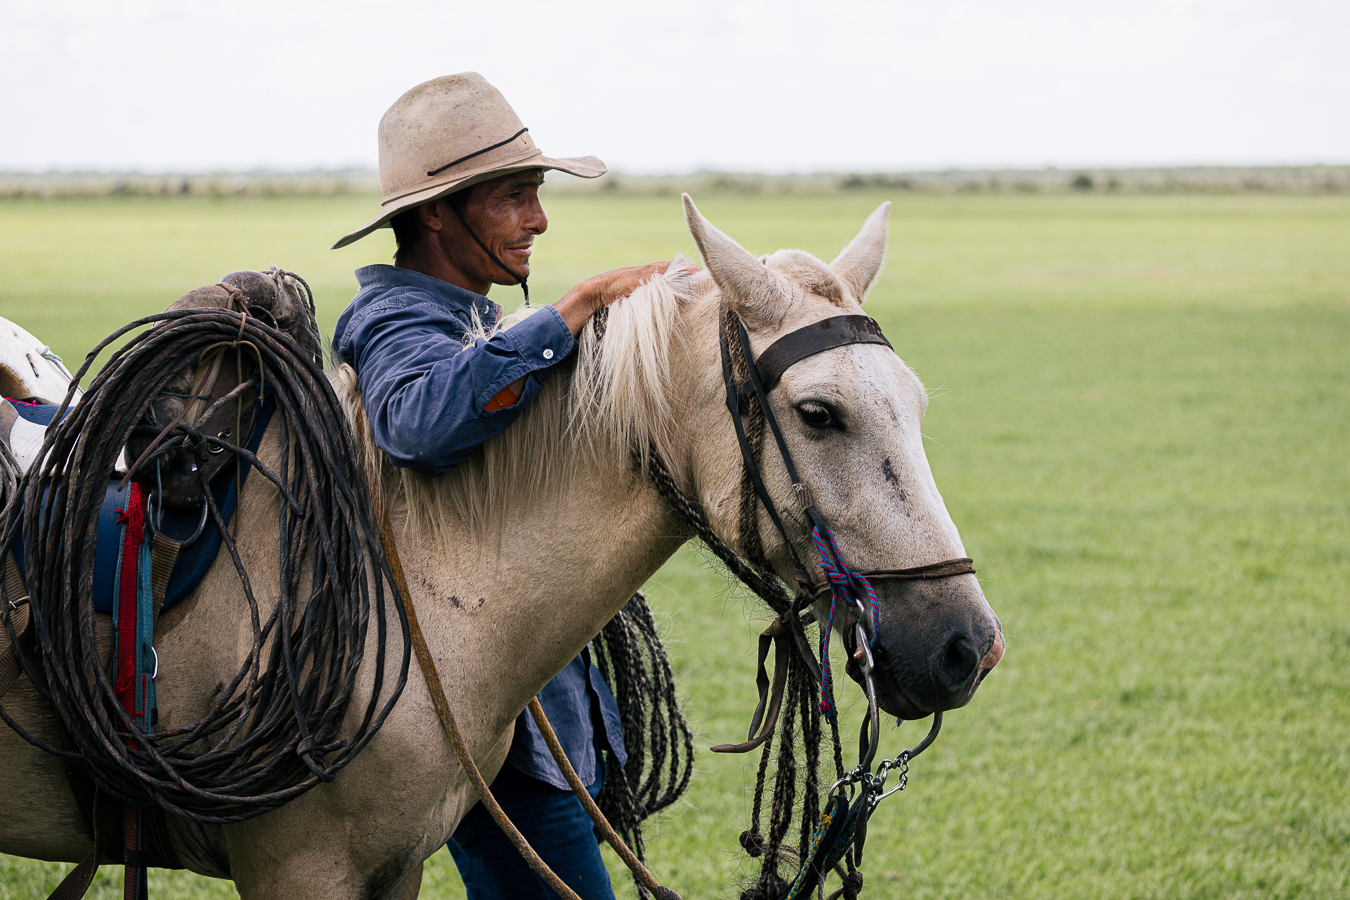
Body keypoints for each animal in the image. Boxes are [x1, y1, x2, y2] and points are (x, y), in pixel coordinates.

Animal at [0, 195, 993, 895]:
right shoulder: (297, 869)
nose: (967, 647)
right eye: (819, 414)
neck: (411, 592)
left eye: (917, 403)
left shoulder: (395, 865)